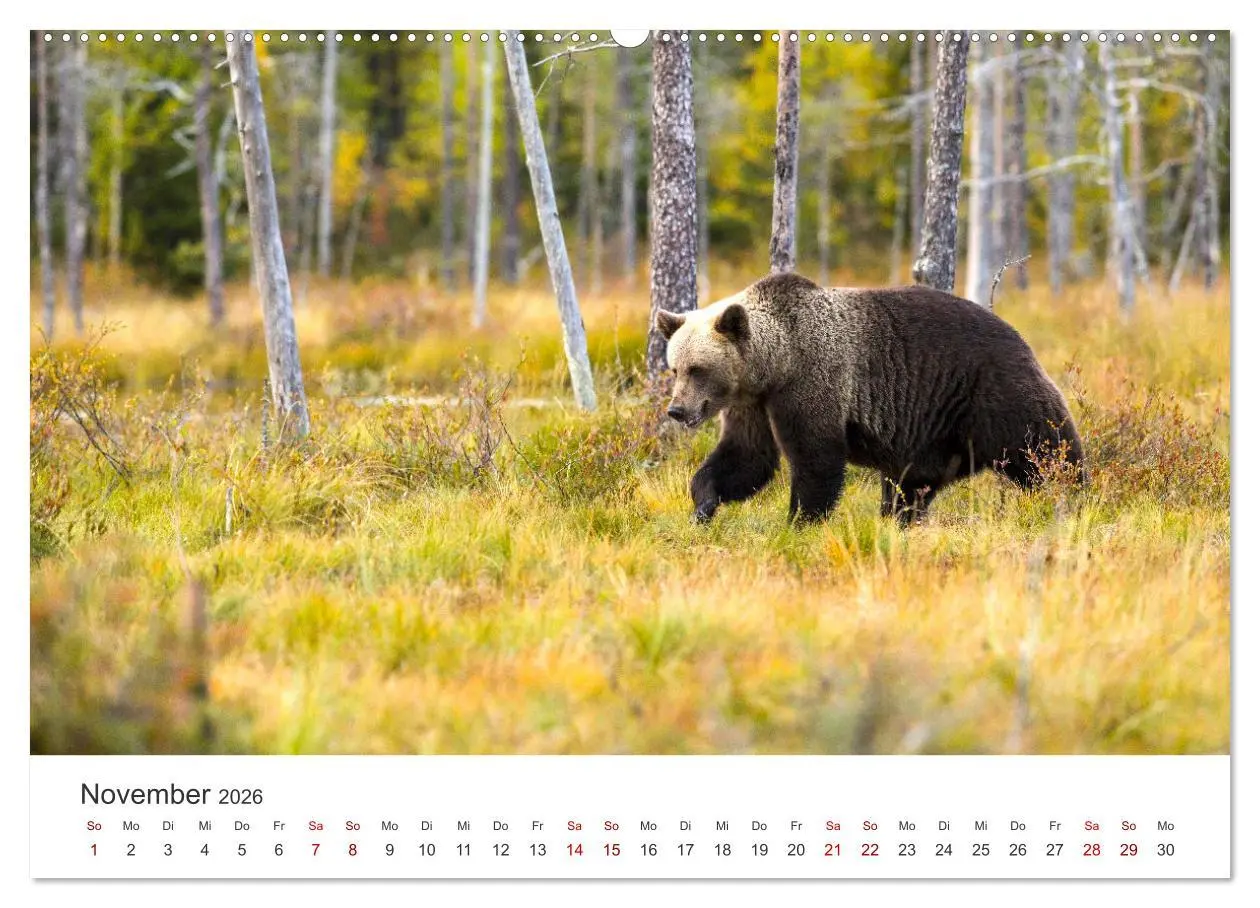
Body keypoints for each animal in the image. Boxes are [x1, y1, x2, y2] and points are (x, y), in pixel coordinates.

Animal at [656, 272, 1085, 526]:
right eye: (675, 368)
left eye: (698, 369)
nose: (677, 410)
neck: (775, 364)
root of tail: (1021, 338)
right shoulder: (753, 404)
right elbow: (746, 457)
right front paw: (703, 504)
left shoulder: (812, 381)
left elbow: (816, 459)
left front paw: (799, 521)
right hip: (933, 433)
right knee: (910, 486)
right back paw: (899, 519)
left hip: (993, 393)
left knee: (1045, 448)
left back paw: (1072, 495)